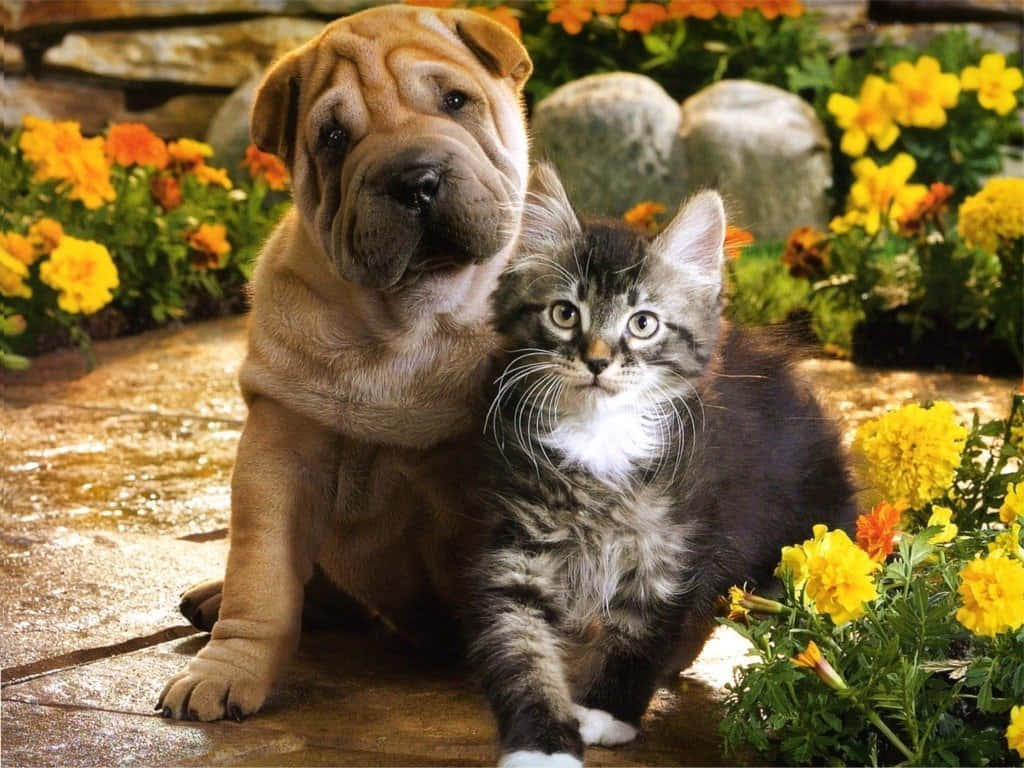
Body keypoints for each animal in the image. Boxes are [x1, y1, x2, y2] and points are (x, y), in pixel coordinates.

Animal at [157, 4, 536, 720]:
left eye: (455, 101)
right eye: (333, 137)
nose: (415, 180)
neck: (415, 318)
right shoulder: (281, 445)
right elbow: (262, 576)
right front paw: (228, 668)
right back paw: (214, 599)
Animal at [468, 165, 860, 765]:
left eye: (643, 323)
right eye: (564, 313)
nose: (598, 360)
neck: (601, 441)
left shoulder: (672, 551)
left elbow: (641, 636)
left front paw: (608, 712)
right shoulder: (521, 553)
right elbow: (521, 652)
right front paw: (541, 743)